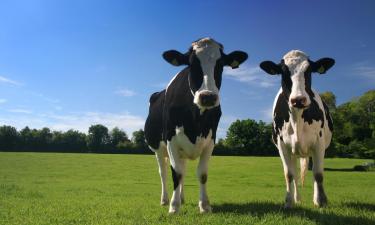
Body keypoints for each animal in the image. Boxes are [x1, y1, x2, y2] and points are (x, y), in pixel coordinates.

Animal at [145, 37, 248, 214]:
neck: (196, 120)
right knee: (164, 172)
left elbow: (202, 174)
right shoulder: (171, 140)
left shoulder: (210, 141)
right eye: (191, 64)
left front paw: (204, 205)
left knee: (183, 170)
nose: (207, 97)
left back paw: (182, 198)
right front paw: (174, 207)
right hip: (158, 149)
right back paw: (165, 200)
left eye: (220, 65)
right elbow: (176, 173)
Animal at [260, 50, 336, 208]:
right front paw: (289, 202)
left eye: (309, 71)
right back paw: (297, 199)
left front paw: (321, 201)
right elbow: (289, 174)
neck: (297, 120)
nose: (298, 99)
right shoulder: (282, 145)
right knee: (295, 173)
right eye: (283, 72)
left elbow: (318, 173)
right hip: (293, 152)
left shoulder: (319, 143)